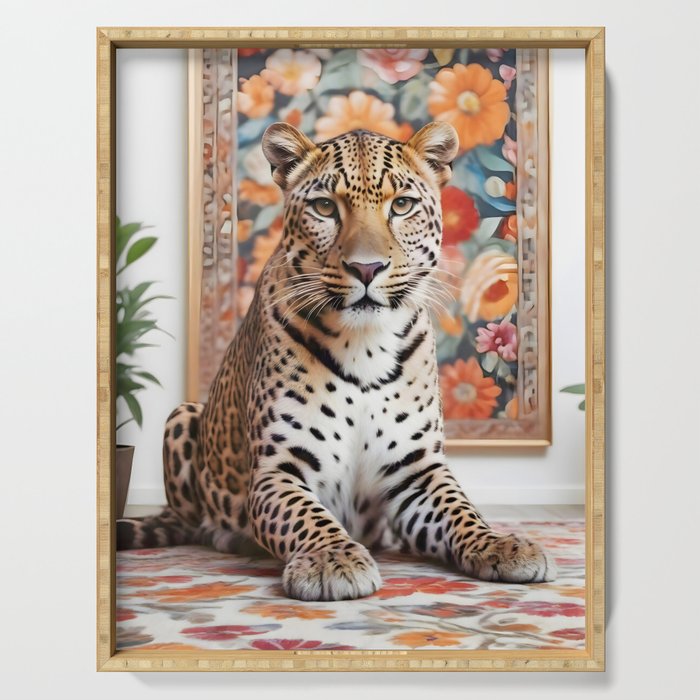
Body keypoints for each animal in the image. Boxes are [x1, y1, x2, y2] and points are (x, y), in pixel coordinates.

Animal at [117, 121, 556, 601]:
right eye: (325, 207)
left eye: (401, 205)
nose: (366, 269)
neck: (365, 346)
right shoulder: (277, 469)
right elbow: (306, 516)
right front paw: (333, 560)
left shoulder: (416, 469)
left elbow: (462, 510)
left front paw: (500, 544)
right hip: (182, 415)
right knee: (190, 521)